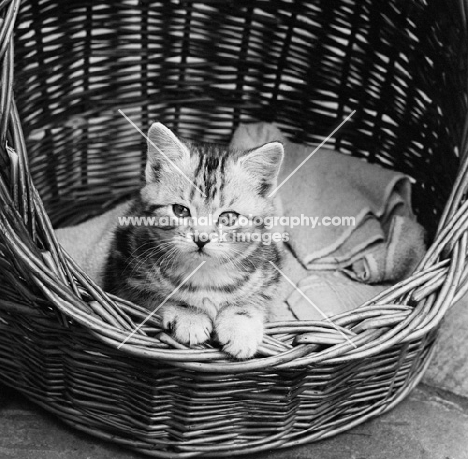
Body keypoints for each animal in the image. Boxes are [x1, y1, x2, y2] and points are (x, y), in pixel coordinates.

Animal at [103, 122, 284, 360]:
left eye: (228, 217)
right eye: (180, 210)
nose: (201, 238)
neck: (204, 273)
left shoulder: (268, 273)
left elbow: (252, 300)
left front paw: (241, 328)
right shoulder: (128, 273)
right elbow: (156, 297)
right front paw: (189, 315)